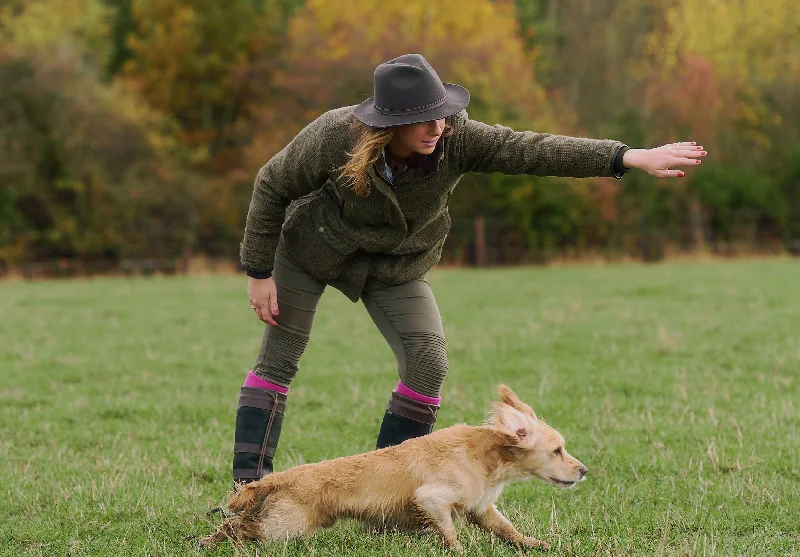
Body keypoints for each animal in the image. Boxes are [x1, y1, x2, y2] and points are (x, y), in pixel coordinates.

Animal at [200, 386, 588, 552]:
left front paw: (538, 544)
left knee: (236, 523)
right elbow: (449, 531)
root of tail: (281, 478)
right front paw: (458, 550)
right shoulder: (431, 497)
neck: (485, 457)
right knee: (240, 526)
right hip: (285, 528)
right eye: (557, 450)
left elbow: (509, 531)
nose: (584, 470)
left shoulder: (482, 508)